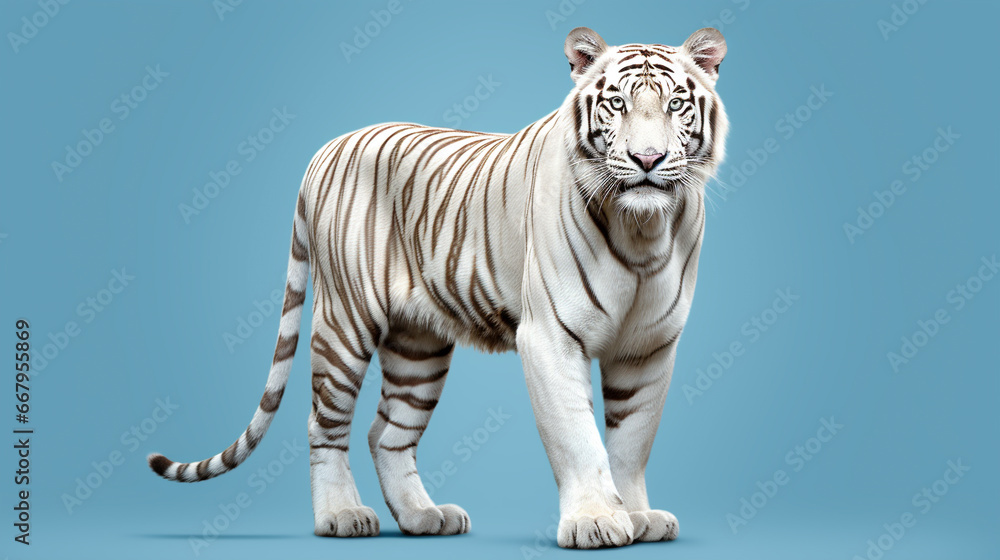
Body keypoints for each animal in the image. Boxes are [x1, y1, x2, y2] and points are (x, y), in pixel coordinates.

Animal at [148, 26, 728, 549]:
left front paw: (639, 517)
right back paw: (340, 515)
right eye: (616, 104)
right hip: (343, 323)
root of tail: (325, 148)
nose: (648, 160)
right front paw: (596, 522)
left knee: (386, 433)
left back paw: (423, 516)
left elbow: (632, 439)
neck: (643, 231)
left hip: (417, 345)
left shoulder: (648, 347)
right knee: (324, 424)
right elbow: (578, 437)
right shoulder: (551, 338)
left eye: (676, 104)